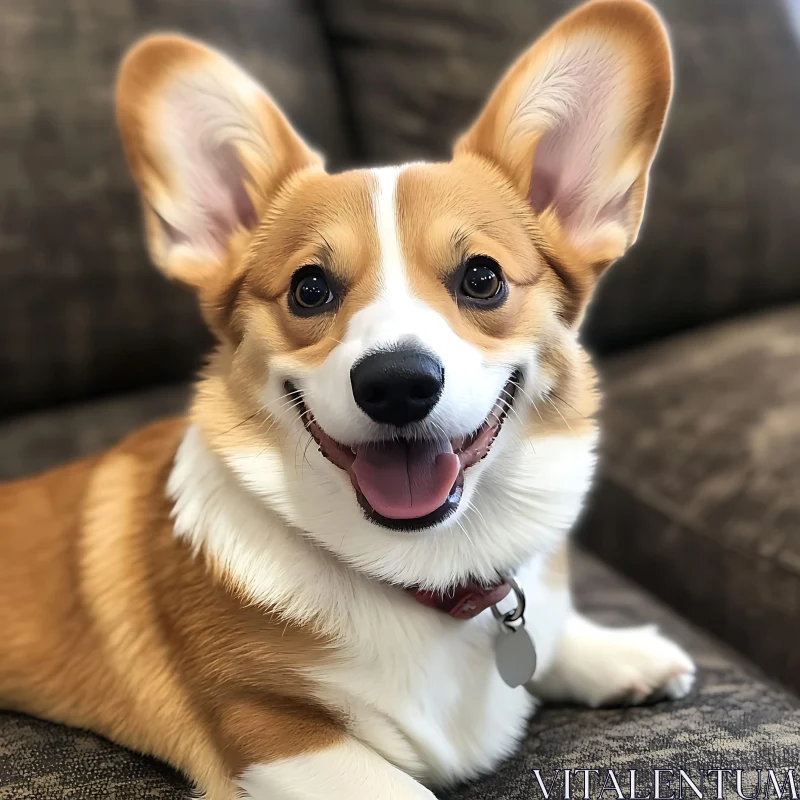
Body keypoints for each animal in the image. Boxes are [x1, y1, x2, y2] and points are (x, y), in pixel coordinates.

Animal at [0, 3, 692, 796]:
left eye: (482, 278)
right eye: (310, 289)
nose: (397, 383)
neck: (424, 570)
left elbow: (548, 629)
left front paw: (618, 653)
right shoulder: (271, 730)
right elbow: (399, 785)